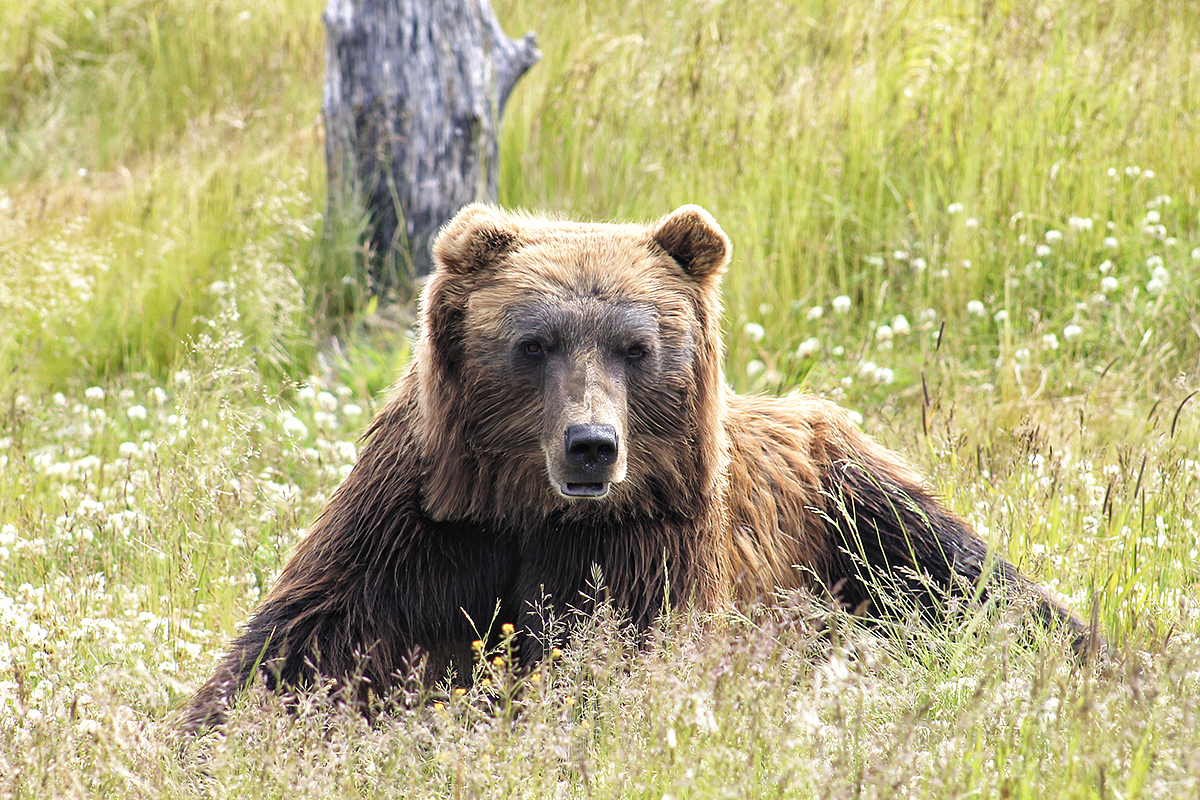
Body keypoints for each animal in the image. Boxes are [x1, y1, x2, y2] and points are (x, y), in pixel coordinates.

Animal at [180, 205, 1099, 734]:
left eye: (636, 346)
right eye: (534, 342)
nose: (591, 444)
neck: (527, 508)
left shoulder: (642, 539)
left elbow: (612, 656)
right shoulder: (424, 521)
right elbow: (306, 644)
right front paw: (220, 731)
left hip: (849, 502)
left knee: (971, 581)